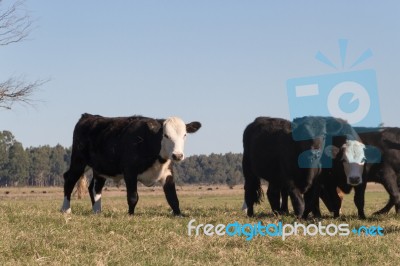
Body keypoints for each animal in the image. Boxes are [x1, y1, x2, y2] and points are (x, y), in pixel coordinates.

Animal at [61, 113, 202, 215]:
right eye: (166, 135)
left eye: (184, 135)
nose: (177, 155)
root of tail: (88, 116)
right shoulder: (130, 172)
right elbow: (133, 197)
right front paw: (131, 214)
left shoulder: (167, 173)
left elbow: (173, 198)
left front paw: (179, 215)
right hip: (78, 161)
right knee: (69, 179)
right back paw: (66, 209)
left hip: (100, 168)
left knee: (95, 188)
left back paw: (97, 211)